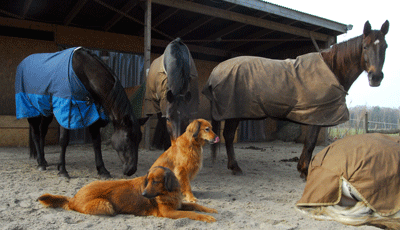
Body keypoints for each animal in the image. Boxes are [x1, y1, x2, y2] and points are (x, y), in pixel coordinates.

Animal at [14, 46, 148, 179]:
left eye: (139, 139)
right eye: (128, 138)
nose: (131, 170)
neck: (84, 73)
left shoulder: (94, 112)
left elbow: (96, 142)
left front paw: (102, 170)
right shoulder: (66, 110)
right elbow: (63, 140)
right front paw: (62, 170)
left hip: (46, 111)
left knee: (42, 132)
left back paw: (43, 160)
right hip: (31, 109)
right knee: (36, 134)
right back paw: (41, 163)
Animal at [37, 166, 217, 222]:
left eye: (155, 181)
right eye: (147, 180)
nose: (143, 194)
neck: (167, 192)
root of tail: (73, 198)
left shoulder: (178, 204)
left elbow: (195, 205)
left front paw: (211, 210)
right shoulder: (169, 212)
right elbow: (190, 213)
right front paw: (206, 217)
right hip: (106, 205)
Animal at [202, 20, 390, 178]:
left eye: (386, 46)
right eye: (364, 47)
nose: (375, 77)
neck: (332, 69)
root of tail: (217, 70)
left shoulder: (314, 115)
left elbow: (308, 143)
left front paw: (301, 167)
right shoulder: (317, 115)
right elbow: (310, 143)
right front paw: (305, 171)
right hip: (233, 112)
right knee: (228, 136)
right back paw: (235, 167)